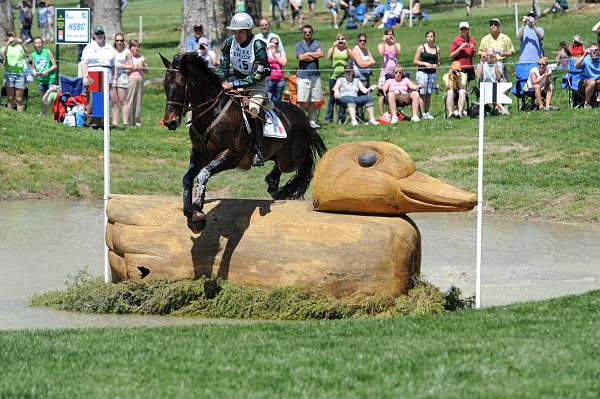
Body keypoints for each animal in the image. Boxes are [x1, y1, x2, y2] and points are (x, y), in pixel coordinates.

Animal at [162, 53, 326, 234]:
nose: (170, 122)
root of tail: (305, 119)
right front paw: (189, 212)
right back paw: (273, 184)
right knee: (280, 168)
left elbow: (204, 173)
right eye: (165, 86)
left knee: (300, 164)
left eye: (180, 86)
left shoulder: (231, 155)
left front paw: (197, 213)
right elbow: (187, 178)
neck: (212, 113)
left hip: (290, 158)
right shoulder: (199, 154)